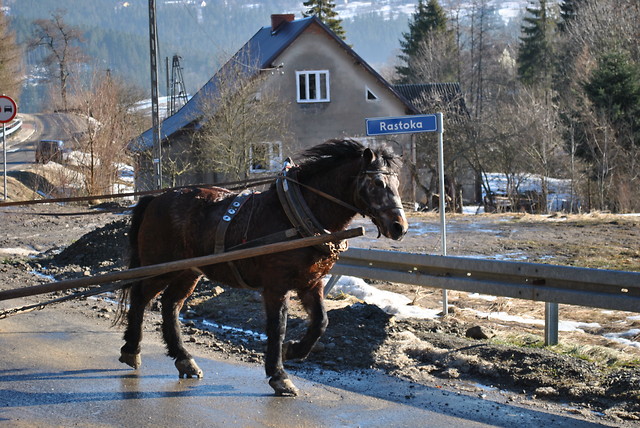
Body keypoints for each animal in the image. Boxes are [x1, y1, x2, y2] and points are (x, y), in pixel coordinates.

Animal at [117, 139, 408, 396]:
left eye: (397, 183)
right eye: (378, 183)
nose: (399, 227)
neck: (297, 216)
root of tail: (155, 199)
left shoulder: (311, 282)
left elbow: (321, 322)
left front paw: (293, 350)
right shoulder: (276, 286)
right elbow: (277, 326)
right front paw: (279, 375)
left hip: (188, 271)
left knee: (170, 304)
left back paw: (183, 358)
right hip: (161, 266)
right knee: (141, 296)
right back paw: (131, 349)